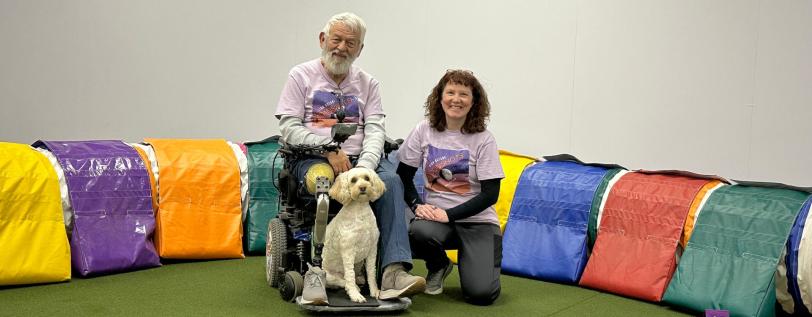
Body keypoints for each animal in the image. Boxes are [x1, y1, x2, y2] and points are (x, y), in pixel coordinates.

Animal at [322, 165, 386, 302]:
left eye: (367, 178)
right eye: (353, 180)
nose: (362, 187)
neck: (360, 212)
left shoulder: (372, 249)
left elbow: (371, 272)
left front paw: (374, 291)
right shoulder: (348, 250)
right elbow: (350, 275)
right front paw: (355, 295)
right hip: (328, 275)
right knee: (343, 280)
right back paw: (354, 287)